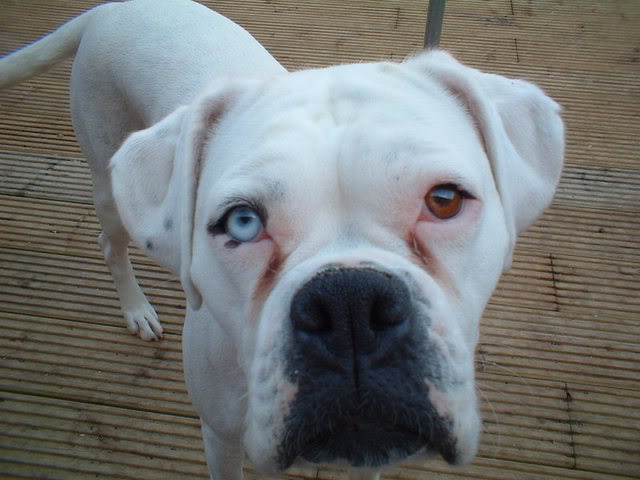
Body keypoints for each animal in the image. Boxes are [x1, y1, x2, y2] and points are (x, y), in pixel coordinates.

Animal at [0, 1, 564, 478]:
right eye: (242, 222)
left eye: (444, 199)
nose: (350, 305)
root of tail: (110, 8)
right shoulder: (220, 437)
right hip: (107, 178)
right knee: (110, 244)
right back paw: (136, 308)